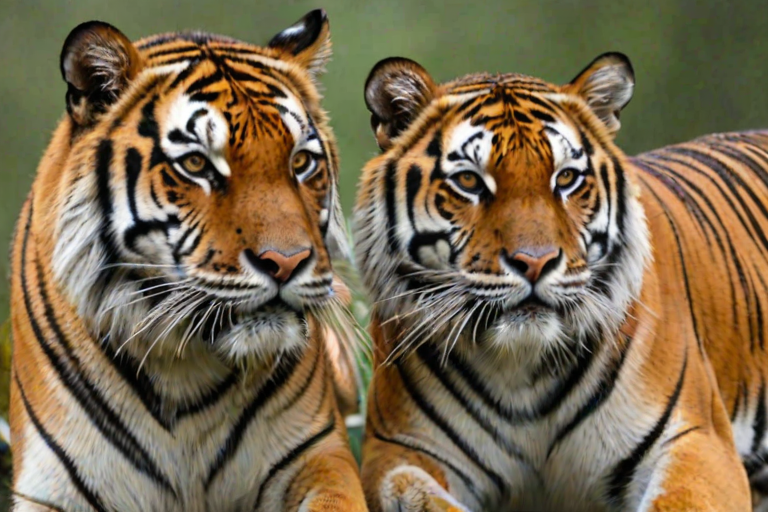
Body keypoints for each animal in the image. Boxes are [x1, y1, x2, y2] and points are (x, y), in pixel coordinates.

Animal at [8, 10, 368, 512]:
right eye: (197, 165)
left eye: (300, 163)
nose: (286, 262)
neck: (184, 369)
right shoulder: (54, 486)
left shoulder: (317, 453)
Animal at [354, 53, 768, 511]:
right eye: (469, 181)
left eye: (566, 178)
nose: (535, 263)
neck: (521, 368)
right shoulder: (398, 449)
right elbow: (411, 491)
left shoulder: (697, 441)